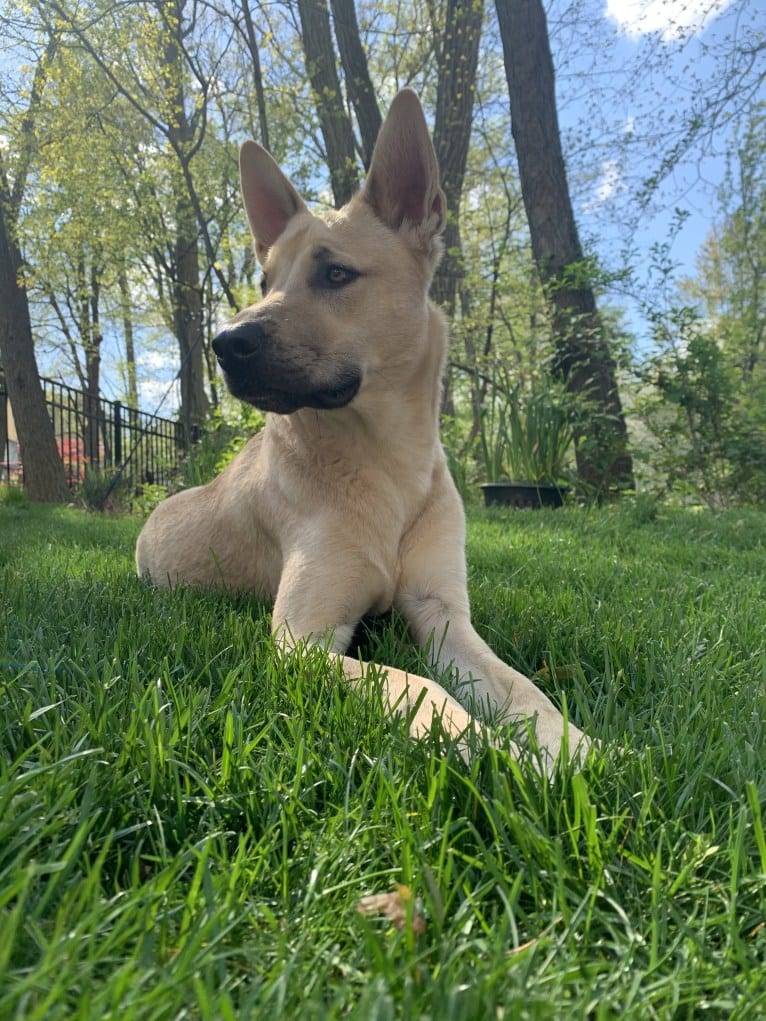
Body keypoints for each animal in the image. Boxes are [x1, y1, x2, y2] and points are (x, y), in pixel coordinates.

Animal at [136, 91, 588, 767]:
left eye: (336, 275)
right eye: (266, 281)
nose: (225, 343)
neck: (385, 463)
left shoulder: (443, 615)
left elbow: (522, 688)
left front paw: (575, 748)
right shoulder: (304, 639)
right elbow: (414, 685)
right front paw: (496, 753)